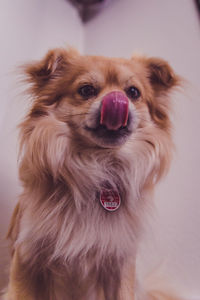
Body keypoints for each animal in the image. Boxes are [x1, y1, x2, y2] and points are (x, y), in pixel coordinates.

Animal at [3, 48, 180, 298]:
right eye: (86, 90)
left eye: (133, 92)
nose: (117, 100)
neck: (98, 163)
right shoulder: (27, 256)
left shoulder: (119, 263)